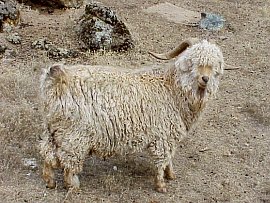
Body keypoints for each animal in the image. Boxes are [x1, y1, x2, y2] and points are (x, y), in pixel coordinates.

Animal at [39, 37, 224, 192]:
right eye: (193, 62)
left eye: (215, 66)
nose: (205, 79)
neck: (170, 87)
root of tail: (56, 78)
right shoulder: (163, 135)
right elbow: (161, 160)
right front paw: (161, 185)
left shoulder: (169, 135)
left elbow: (169, 158)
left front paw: (171, 175)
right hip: (74, 134)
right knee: (68, 162)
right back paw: (73, 186)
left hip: (53, 128)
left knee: (48, 154)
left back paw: (50, 182)